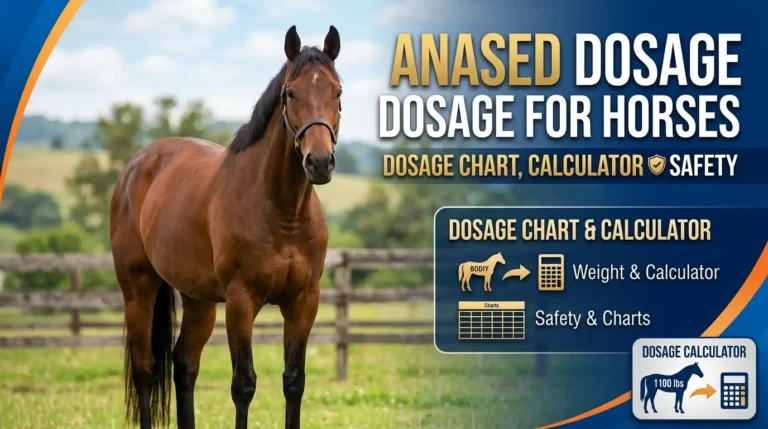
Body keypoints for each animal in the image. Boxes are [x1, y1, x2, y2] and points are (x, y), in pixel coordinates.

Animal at [110, 25, 342, 429]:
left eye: (338, 92)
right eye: (290, 93)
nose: (319, 162)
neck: (281, 211)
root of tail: (136, 165)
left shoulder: (304, 301)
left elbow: (294, 381)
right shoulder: (241, 300)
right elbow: (243, 384)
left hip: (198, 299)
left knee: (184, 364)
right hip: (138, 288)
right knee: (145, 369)